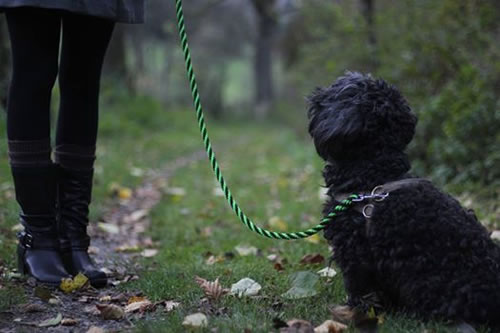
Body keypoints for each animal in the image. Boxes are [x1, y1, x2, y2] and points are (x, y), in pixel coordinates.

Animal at [306, 70, 500, 326]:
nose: (315, 94)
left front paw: (351, 314)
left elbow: (360, 292)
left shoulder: (356, 256)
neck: (373, 173)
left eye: (337, 90)